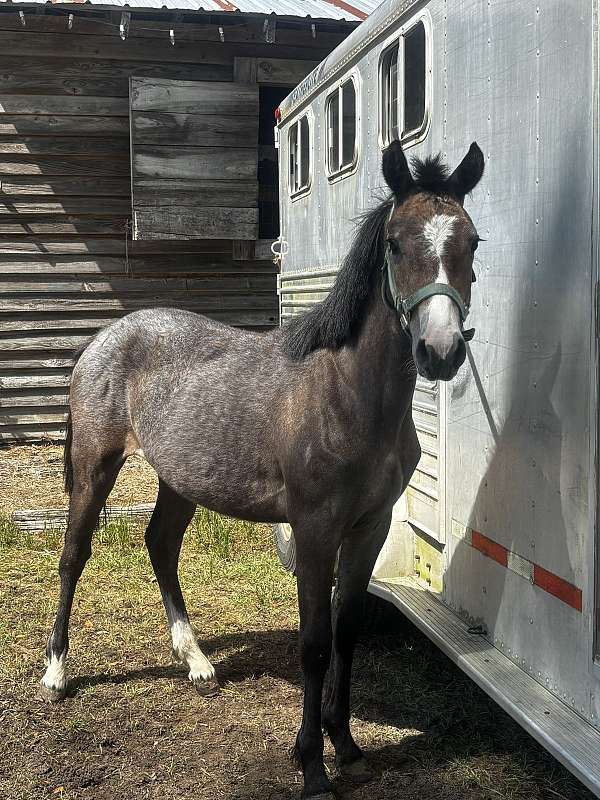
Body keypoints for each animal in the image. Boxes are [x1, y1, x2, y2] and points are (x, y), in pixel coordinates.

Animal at [40, 139, 484, 800]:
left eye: (471, 242)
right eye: (395, 243)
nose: (441, 351)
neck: (344, 393)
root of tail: (104, 337)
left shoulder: (369, 527)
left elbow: (347, 630)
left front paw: (347, 746)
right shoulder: (315, 528)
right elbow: (315, 643)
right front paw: (312, 766)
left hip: (181, 479)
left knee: (160, 545)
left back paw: (197, 663)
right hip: (96, 464)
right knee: (74, 555)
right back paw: (56, 672)